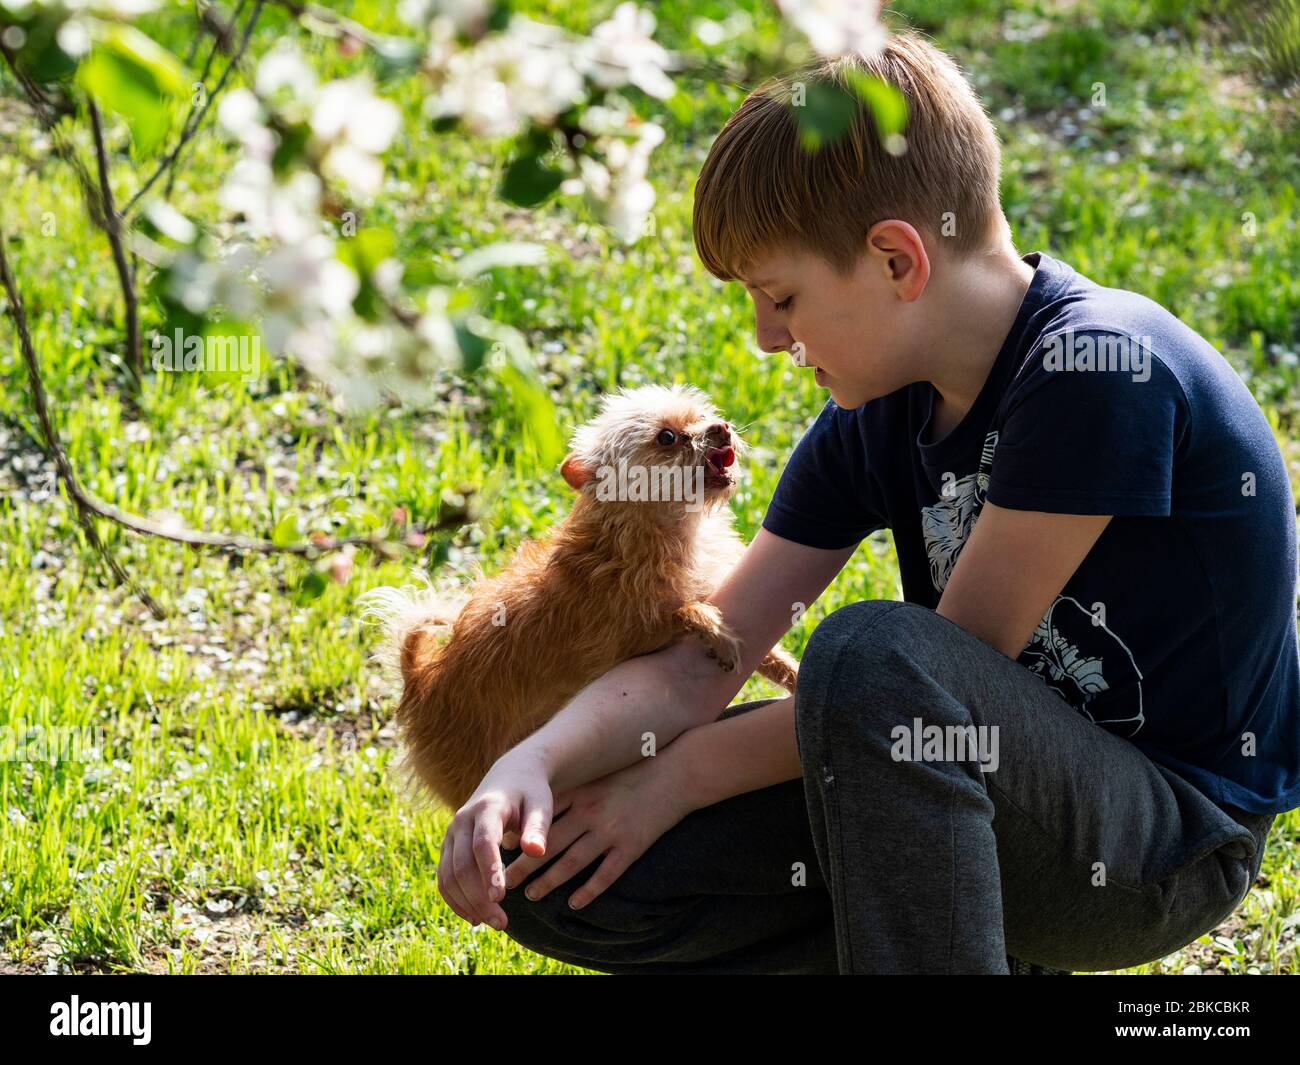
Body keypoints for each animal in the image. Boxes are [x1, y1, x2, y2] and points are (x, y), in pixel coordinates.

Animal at [361, 382, 795, 806]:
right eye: (667, 438)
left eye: (702, 415)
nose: (720, 427)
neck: (676, 530)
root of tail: (419, 678)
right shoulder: (632, 639)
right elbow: (682, 611)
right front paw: (709, 627)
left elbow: (767, 654)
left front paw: (792, 676)